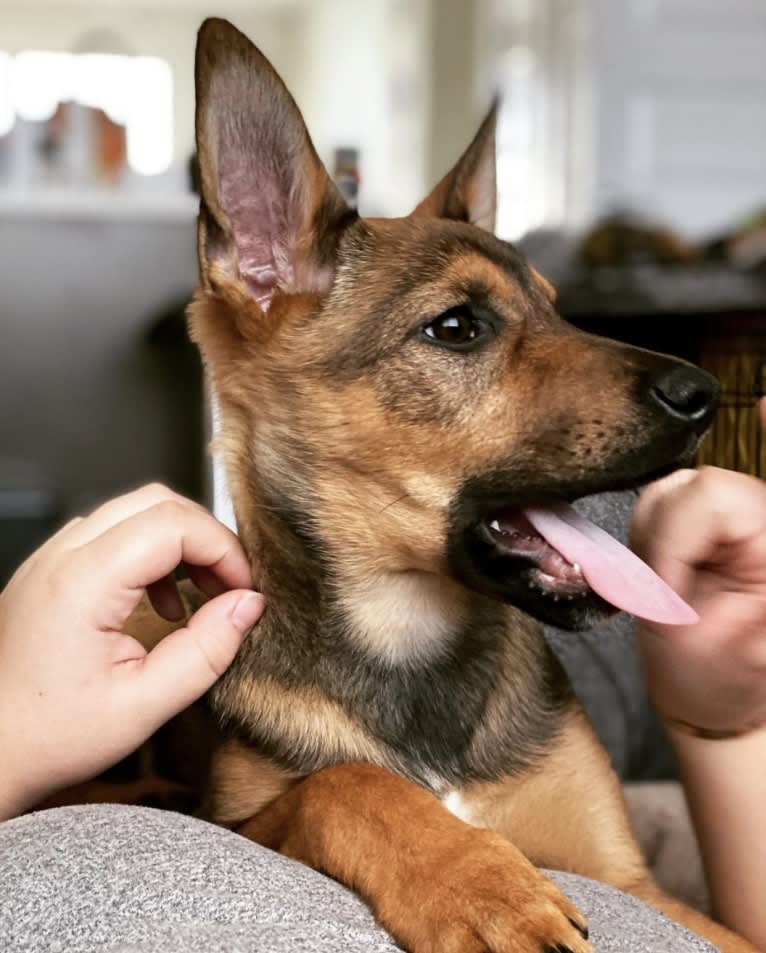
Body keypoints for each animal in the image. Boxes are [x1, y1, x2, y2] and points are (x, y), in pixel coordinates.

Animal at [136, 16, 760, 952]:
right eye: (458, 327)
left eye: (557, 307)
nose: (705, 396)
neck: (411, 640)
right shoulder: (239, 815)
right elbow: (343, 782)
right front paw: (480, 884)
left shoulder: (640, 884)